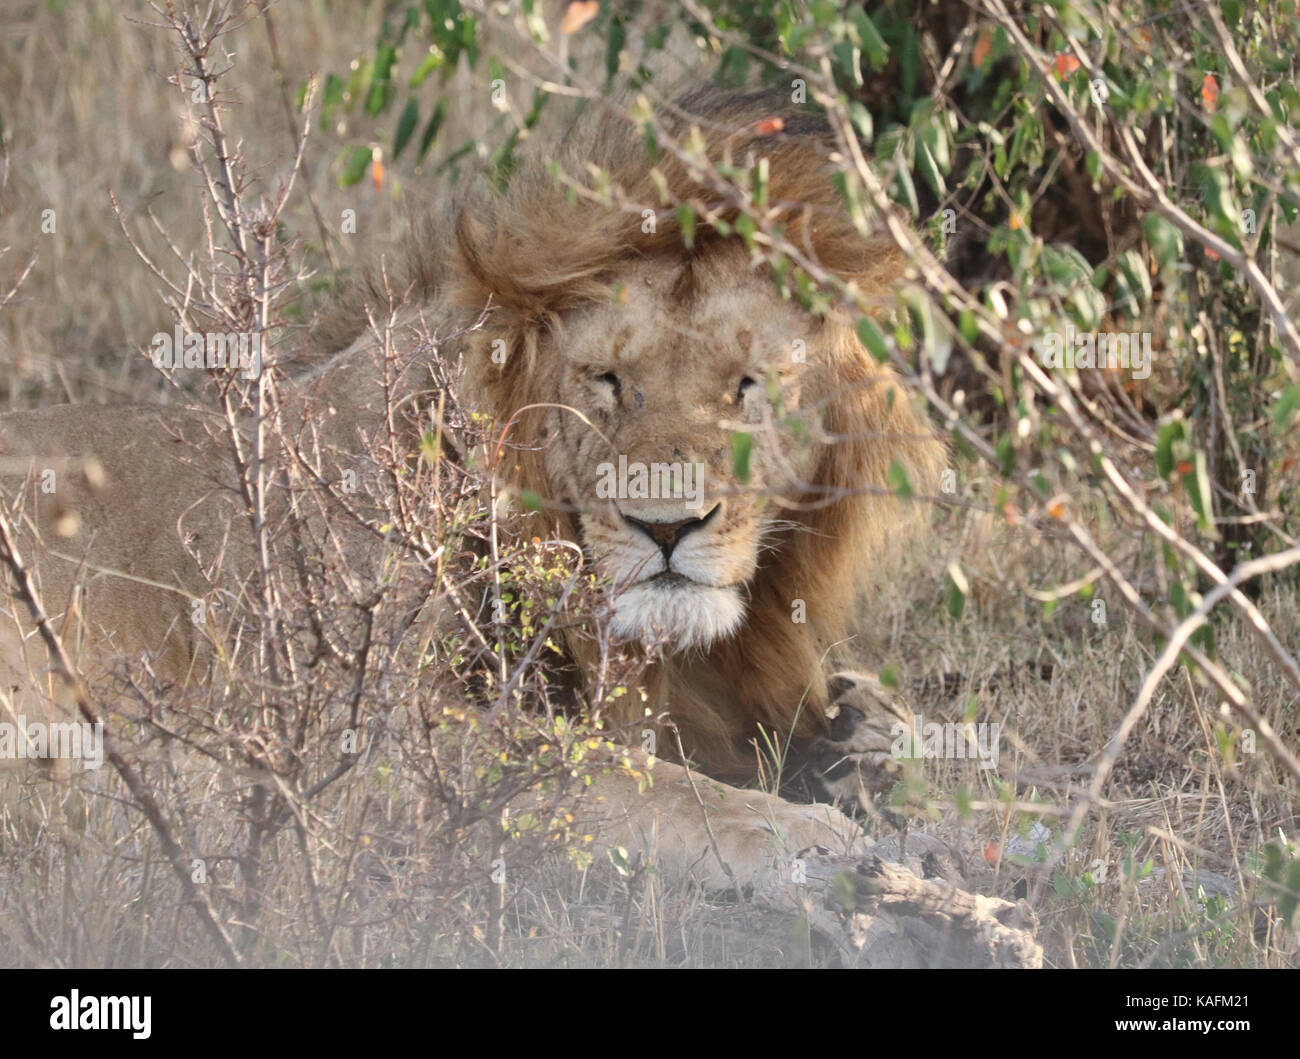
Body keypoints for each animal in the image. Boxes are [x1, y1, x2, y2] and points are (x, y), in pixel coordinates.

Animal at [0, 87, 949, 902]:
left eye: (747, 385)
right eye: (606, 381)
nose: (665, 528)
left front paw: (870, 738)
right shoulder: (361, 727)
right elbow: (611, 774)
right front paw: (805, 834)